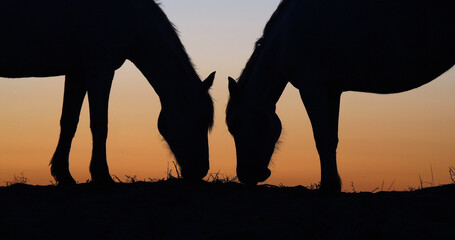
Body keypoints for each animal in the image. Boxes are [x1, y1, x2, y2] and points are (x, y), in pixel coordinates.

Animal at [0, 0, 216, 186]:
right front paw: (102, 175)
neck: (132, 16)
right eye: (200, 118)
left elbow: (69, 122)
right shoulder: (100, 70)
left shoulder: (77, 73)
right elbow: (99, 124)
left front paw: (64, 175)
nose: (201, 170)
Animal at [228, 0, 455, 192]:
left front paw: (328, 186)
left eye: (234, 126)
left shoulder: (312, 88)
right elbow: (332, 138)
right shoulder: (332, 90)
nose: (246, 176)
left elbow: (322, 138)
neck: (286, 34)